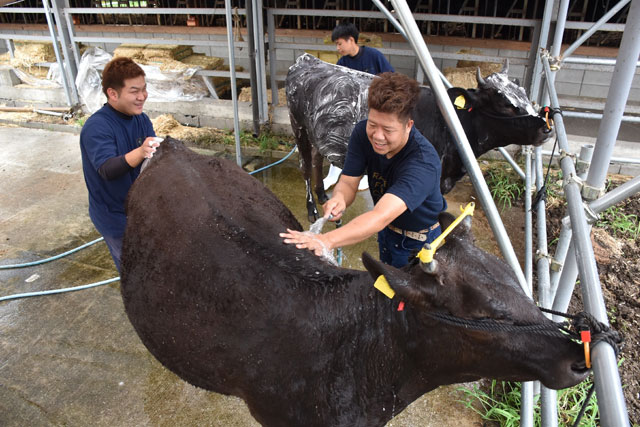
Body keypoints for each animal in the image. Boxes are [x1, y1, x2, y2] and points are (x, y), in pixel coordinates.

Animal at [288, 54, 552, 222]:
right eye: (505, 103)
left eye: (523, 92)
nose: (546, 128)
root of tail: (307, 59)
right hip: (298, 126)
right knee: (304, 165)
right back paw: (311, 208)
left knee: (316, 159)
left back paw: (323, 194)